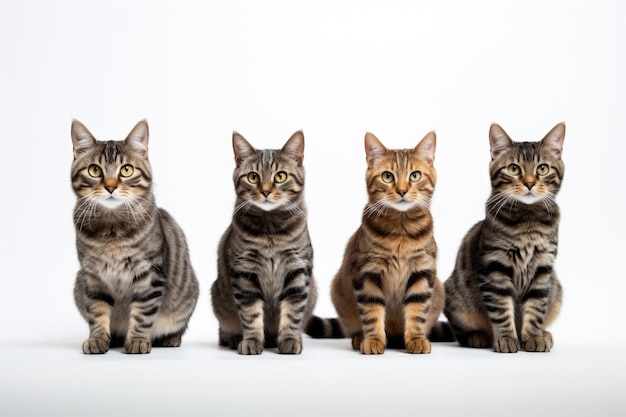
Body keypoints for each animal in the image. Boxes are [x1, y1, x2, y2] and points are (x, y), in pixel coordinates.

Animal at [73, 118, 200, 352]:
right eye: (95, 170)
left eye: (126, 170)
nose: (110, 187)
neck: (111, 231)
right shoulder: (92, 277)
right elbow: (97, 311)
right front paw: (97, 339)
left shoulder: (150, 275)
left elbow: (143, 312)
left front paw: (138, 340)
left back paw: (169, 339)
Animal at [211, 130, 316, 354]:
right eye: (253, 177)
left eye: (280, 176)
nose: (266, 191)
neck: (271, 231)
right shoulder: (244, 272)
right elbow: (251, 314)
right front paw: (251, 341)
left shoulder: (297, 271)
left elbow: (292, 312)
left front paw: (290, 339)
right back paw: (233, 337)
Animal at [304, 132, 444, 352]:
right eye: (387, 176)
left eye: (415, 175)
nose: (402, 191)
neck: (401, 232)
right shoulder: (367, 272)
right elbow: (372, 312)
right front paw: (373, 340)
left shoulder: (422, 272)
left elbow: (417, 311)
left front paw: (416, 339)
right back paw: (359, 338)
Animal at [442, 122, 564, 352]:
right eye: (514, 168)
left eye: (542, 168)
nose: (529, 183)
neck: (528, 221)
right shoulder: (494, 266)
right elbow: (501, 309)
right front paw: (507, 338)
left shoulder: (543, 268)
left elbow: (536, 308)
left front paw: (533, 336)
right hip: (454, 297)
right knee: (459, 331)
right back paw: (478, 337)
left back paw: (545, 334)